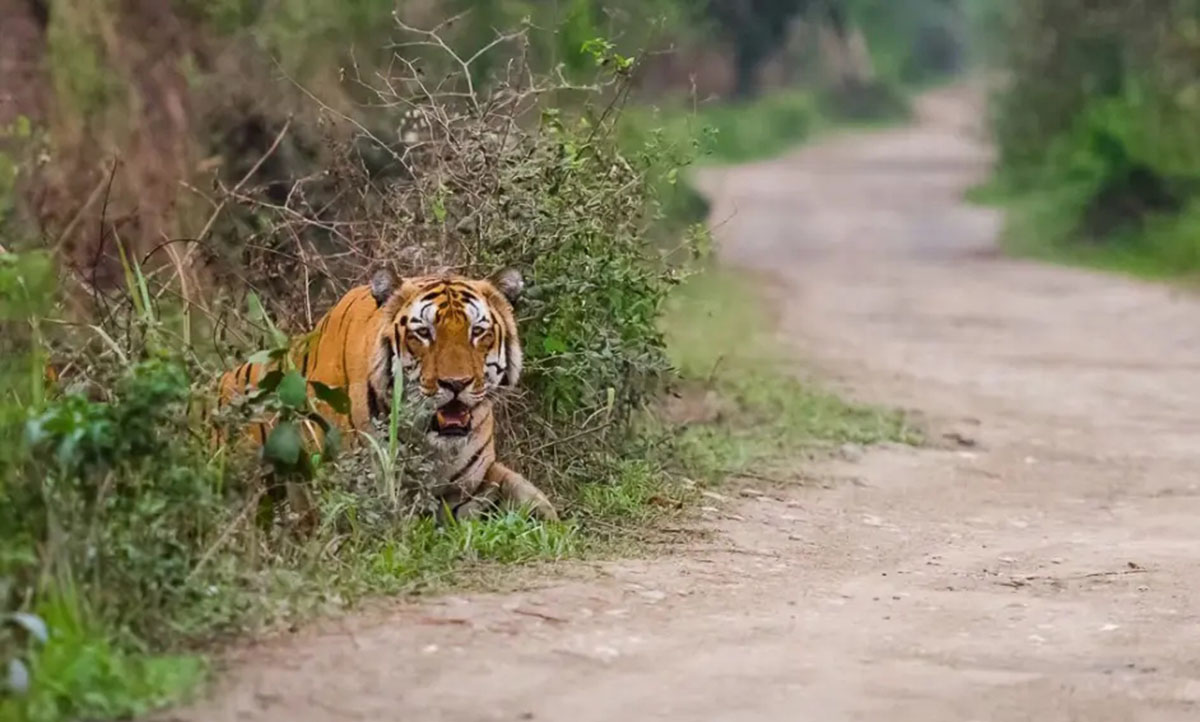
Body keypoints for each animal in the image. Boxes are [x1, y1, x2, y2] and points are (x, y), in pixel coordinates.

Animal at [219, 267, 556, 520]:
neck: (430, 442)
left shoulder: (473, 481)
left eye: (477, 332)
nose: (456, 384)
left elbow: (533, 501)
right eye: (424, 333)